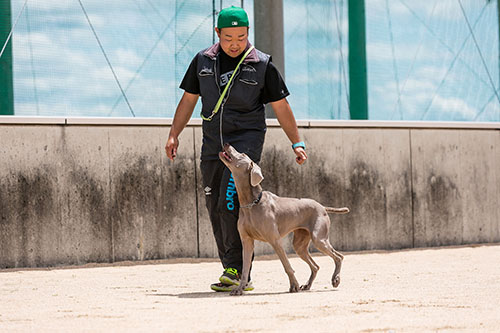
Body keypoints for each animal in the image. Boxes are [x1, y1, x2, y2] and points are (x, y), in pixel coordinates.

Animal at [219, 144, 348, 294]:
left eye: (243, 154)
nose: (227, 144)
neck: (252, 203)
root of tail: (322, 206)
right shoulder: (247, 241)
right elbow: (245, 268)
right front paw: (239, 289)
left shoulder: (275, 240)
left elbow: (287, 266)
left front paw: (294, 286)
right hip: (300, 244)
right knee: (315, 266)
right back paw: (307, 285)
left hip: (319, 238)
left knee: (339, 256)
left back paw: (335, 279)